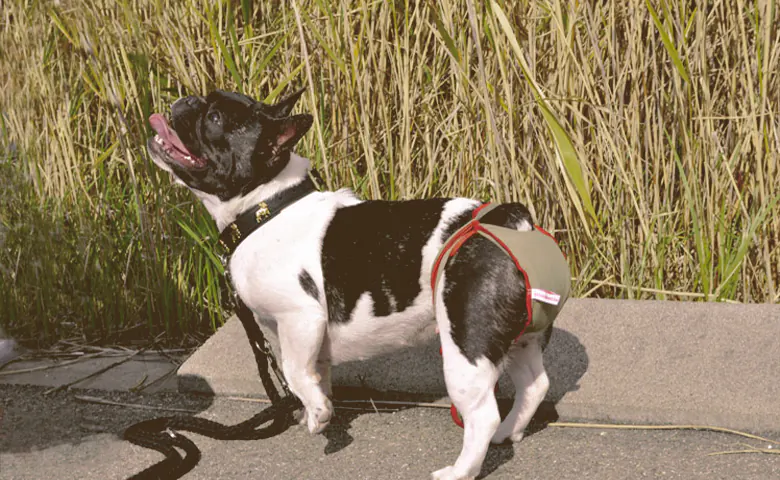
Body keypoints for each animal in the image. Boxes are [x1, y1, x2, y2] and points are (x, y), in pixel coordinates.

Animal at [148, 90, 556, 480]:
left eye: (215, 118)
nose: (187, 100)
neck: (267, 207)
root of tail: (513, 221)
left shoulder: (300, 316)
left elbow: (294, 371)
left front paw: (318, 413)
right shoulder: (304, 334)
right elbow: (314, 370)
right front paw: (317, 407)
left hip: (465, 345)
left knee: (482, 414)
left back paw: (461, 470)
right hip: (521, 338)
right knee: (533, 385)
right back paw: (508, 432)